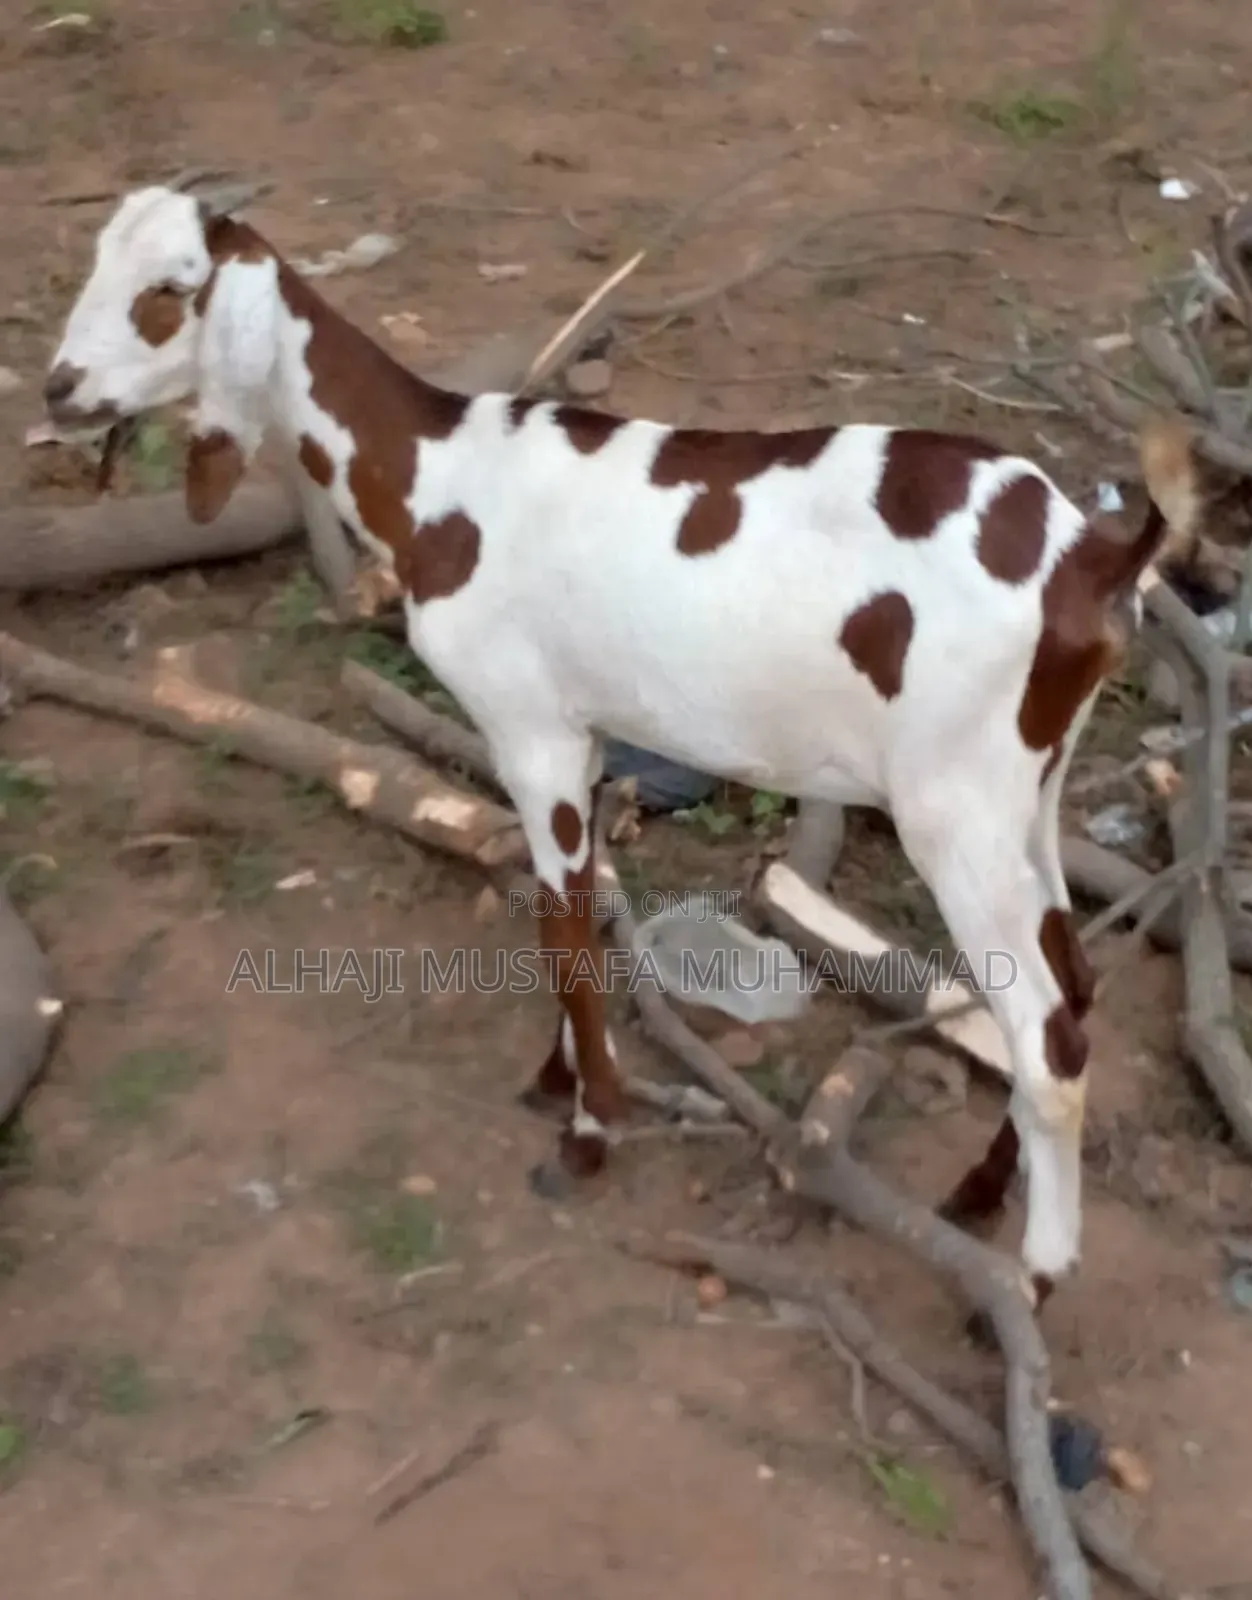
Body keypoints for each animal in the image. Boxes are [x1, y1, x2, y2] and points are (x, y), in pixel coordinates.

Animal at [43, 176, 1198, 1304]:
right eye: (97, 260)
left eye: (167, 289)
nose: (58, 388)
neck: (437, 480)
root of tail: (1093, 561)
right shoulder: (586, 738)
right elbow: (583, 906)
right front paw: (558, 1082)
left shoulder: (530, 731)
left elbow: (561, 929)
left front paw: (588, 1129)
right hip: (1027, 791)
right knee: (1073, 988)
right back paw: (979, 1193)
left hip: (953, 804)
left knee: (1044, 1031)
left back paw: (1035, 1278)